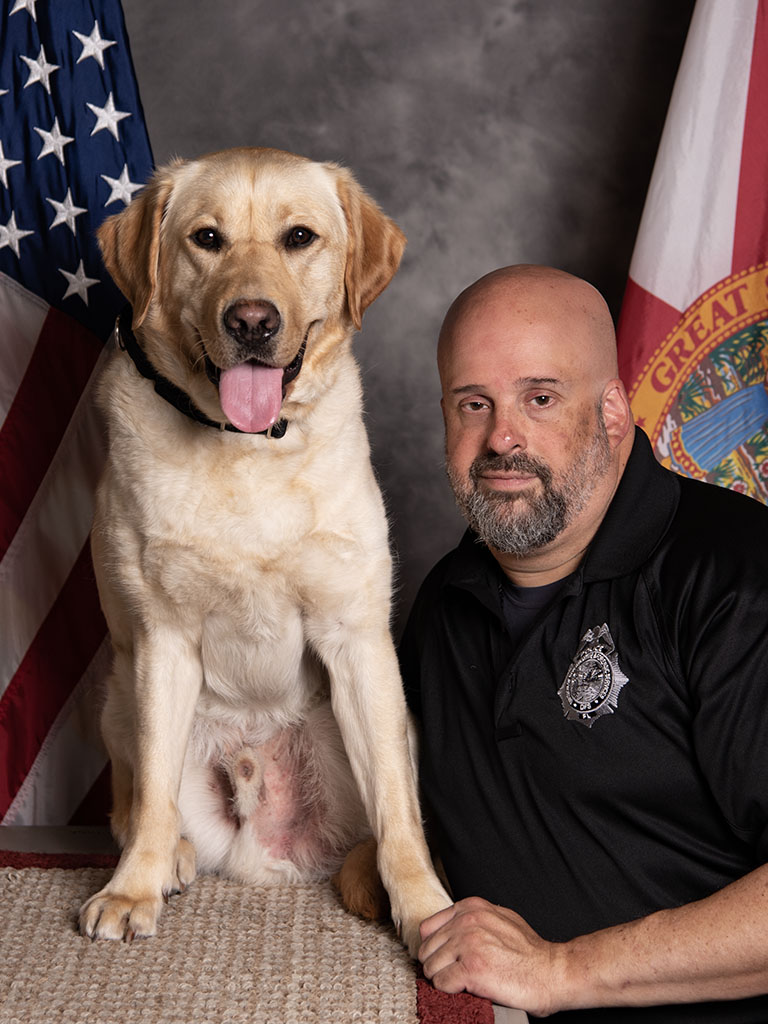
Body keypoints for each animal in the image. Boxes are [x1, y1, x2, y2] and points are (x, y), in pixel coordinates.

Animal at [79, 148, 450, 954]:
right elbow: (151, 797)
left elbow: (399, 817)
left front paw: (425, 908)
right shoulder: (161, 641)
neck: (246, 448)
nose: (251, 320)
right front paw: (132, 888)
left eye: (299, 237)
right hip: (120, 699)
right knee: (140, 801)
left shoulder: (357, 640)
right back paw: (170, 859)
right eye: (207, 239)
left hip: (392, 721)